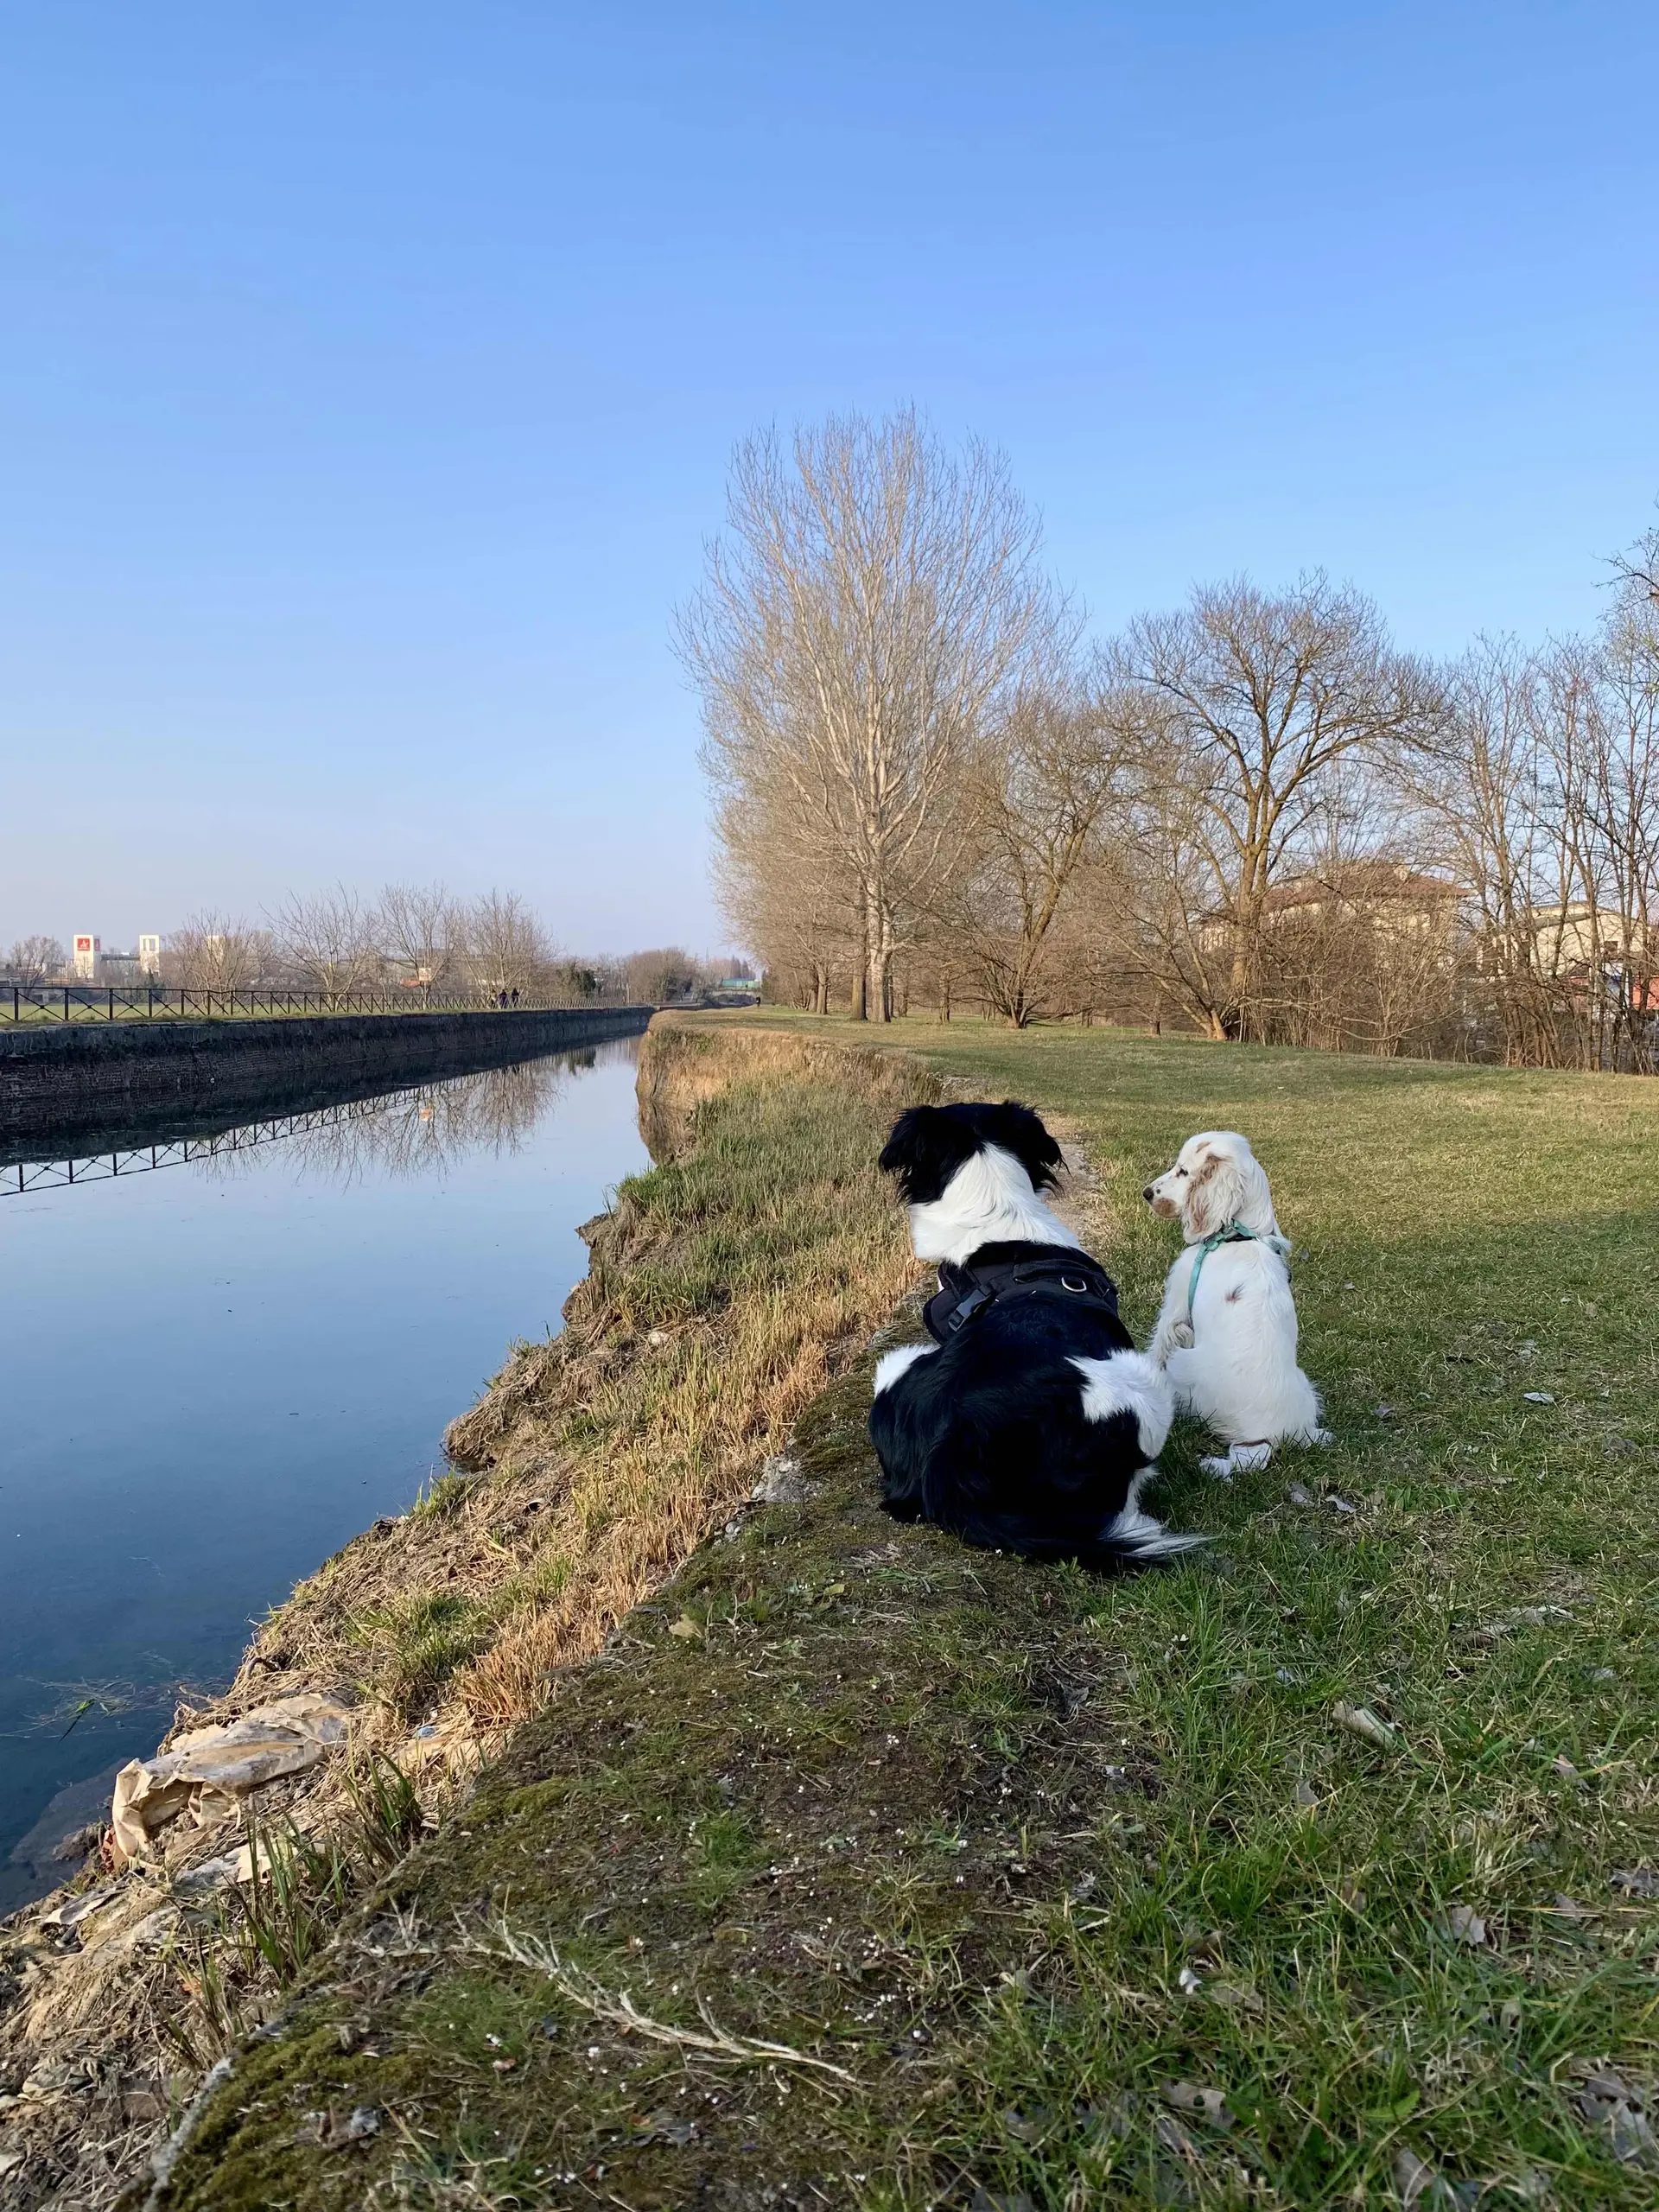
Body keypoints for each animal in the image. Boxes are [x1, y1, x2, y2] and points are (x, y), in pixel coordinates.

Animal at [1143, 1130, 1327, 1478]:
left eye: (1183, 1171)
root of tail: (1265, 1438)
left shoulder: (1176, 1306)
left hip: (1183, 1367)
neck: (1237, 1235)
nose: (1147, 1193)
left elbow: (1157, 1346)